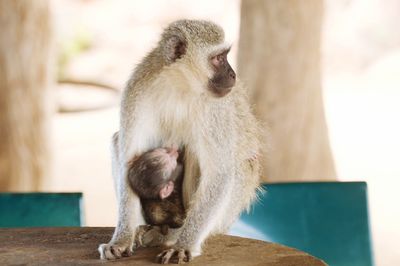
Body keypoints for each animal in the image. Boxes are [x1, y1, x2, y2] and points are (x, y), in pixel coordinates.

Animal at [99, 19, 262, 264]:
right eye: (218, 58)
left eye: (225, 55)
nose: (233, 75)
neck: (180, 83)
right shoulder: (136, 90)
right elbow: (130, 159)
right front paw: (121, 239)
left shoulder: (215, 109)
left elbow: (220, 172)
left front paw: (184, 244)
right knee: (119, 140)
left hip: (227, 212)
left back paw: (175, 235)